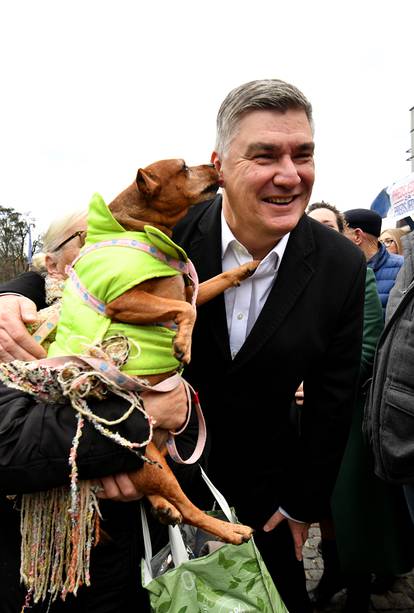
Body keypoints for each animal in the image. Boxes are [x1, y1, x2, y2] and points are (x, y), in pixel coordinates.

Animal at [70, 159, 258, 544]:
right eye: (183, 167)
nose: (214, 164)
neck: (140, 228)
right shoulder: (126, 300)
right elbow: (184, 311)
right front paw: (182, 344)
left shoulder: (192, 292)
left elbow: (212, 284)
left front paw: (246, 267)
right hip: (157, 465)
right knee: (190, 508)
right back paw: (230, 531)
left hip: (156, 463)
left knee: (159, 498)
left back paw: (163, 509)